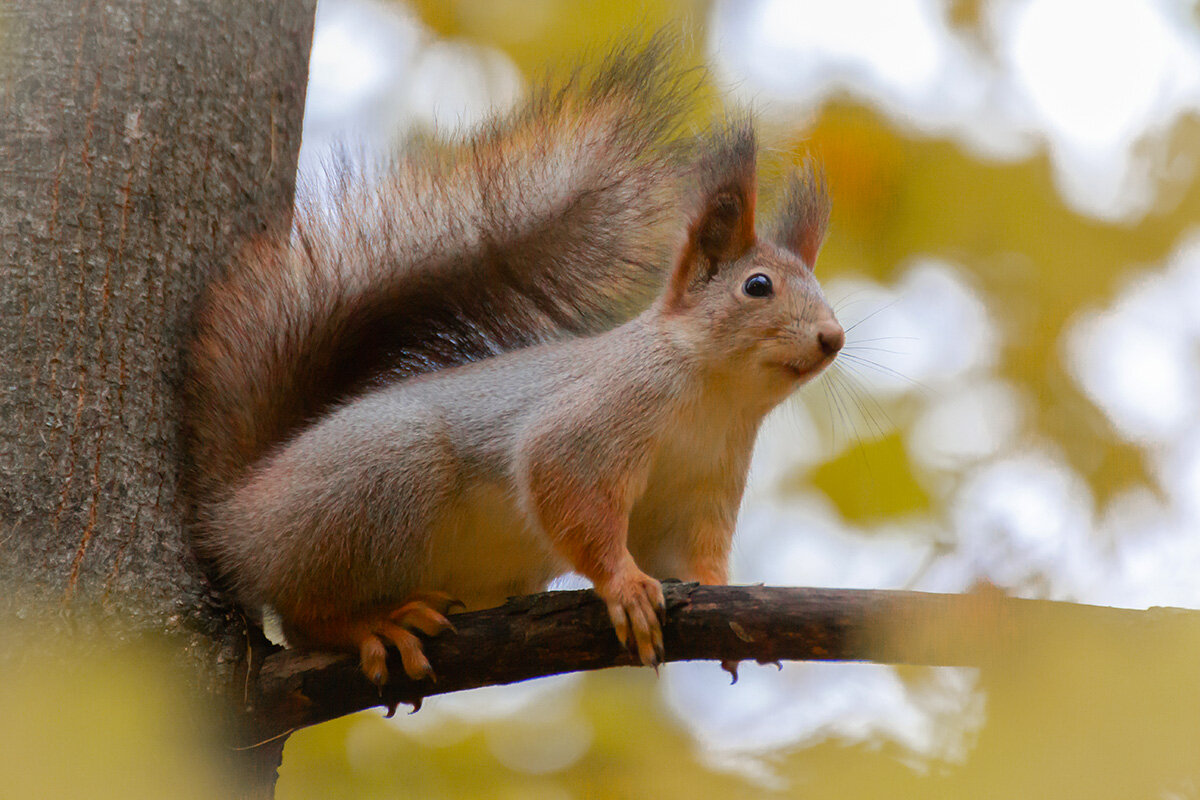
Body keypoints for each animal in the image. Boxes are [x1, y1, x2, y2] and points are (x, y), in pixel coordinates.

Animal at [187, 40, 844, 686]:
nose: (833, 337)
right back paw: (371, 624)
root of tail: (235, 513)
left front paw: (721, 596)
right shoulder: (604, 412)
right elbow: (565, 483)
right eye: (757, 286)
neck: (716, 396)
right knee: (303, 613)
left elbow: (689, 555)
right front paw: (625, 587)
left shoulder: (702, 487)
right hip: (382, 477)